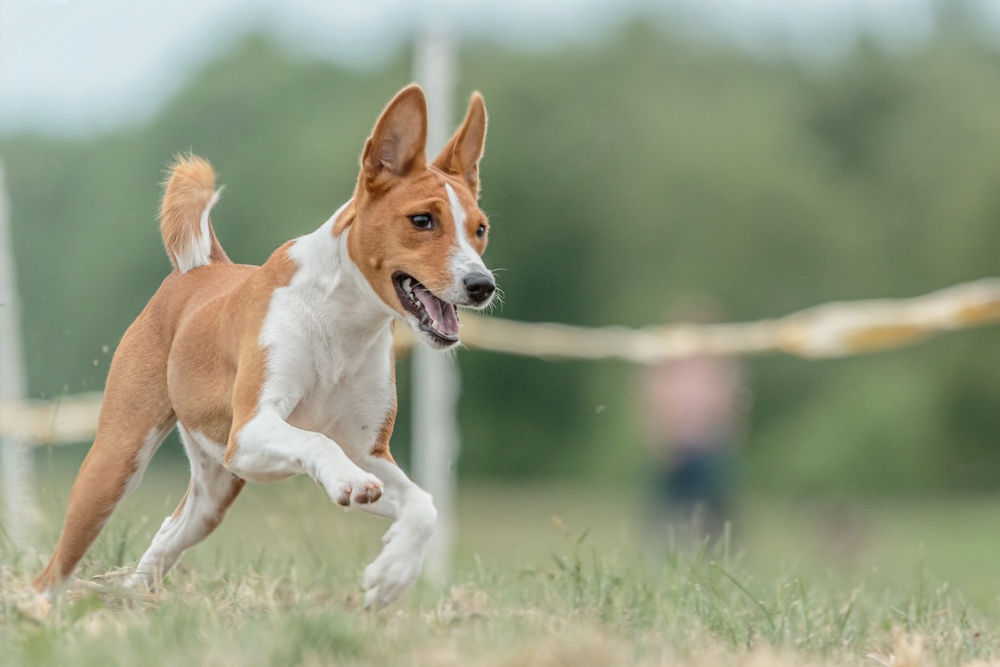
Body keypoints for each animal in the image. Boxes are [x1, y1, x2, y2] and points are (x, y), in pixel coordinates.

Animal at [35, 85, 496, 612]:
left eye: (480, 229)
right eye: (422, 220)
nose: (482, 284)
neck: (343, 328)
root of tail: (204, 269)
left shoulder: (366, 448)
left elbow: (424, 505)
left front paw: (392, 573)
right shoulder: (254, 429)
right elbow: (317, 441)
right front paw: (348, 485)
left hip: (212, 493)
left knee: (167, 534)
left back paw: (135, 601)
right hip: (116, 462)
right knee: (56, 567)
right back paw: (43, 610)